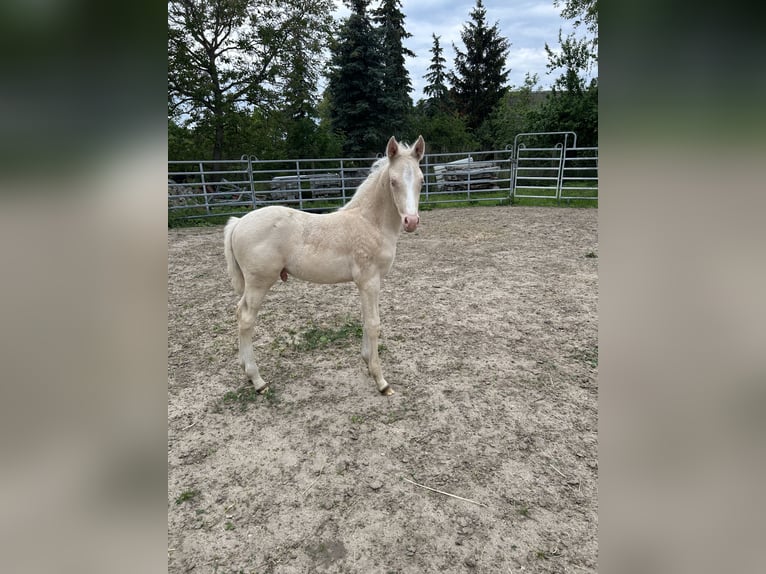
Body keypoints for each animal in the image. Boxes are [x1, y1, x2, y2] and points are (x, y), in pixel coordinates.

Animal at [224, 136, 426, 396]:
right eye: (393, 181)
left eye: (421, 180)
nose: (411, 221)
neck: (369, 222)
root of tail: (238, 223)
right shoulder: (370, 281)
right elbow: (373, 324)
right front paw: (381, 382)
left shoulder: (366, 284)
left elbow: (364, 319)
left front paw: (366, 363)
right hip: (259, 283)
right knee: (247, 319)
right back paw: (258, 381)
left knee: (239, 312)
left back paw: (245, 370)